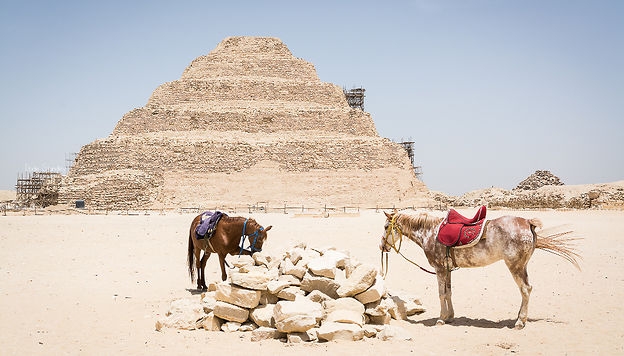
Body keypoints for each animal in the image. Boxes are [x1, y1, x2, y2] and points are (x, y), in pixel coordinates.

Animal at [380, 209, 580, 328]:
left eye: (385, 226)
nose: (382, 246)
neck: (430, 232)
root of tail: (528, 222)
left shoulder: (439, 269)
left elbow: (441, 294)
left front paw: (441, 318)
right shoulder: (448, 270)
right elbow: (449, 292)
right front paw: (450, 316)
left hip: (515, 266)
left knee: (525, 289)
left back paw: (520, 321)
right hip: (522, 266)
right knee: (527, 290)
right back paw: (519, 317)